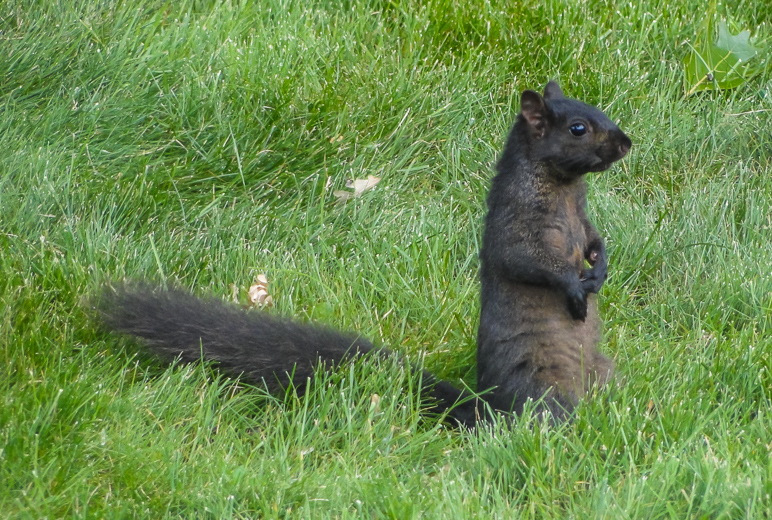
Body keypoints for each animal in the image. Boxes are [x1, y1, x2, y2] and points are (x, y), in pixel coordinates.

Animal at [96, 81, 632, 426]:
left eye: (599, 111)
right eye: (579, 128)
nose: (626, 143)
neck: (565, 188)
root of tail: (489, 408)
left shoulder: (581, 219)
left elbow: (592, 239)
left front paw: (601, 265)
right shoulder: (516, 222)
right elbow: (529, 260)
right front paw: (572, 285)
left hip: (601, 371)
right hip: (543, 381)